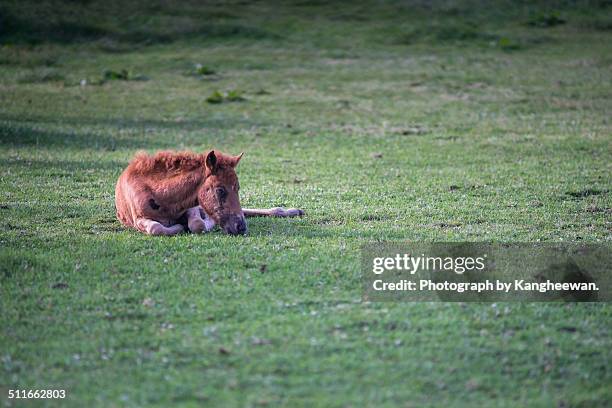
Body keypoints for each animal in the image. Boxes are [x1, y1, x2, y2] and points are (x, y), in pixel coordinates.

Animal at [114, 149, 304, 236]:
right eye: (220, 190)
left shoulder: (192, 206)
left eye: (238, 188)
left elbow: (197, 225)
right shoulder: (138, 219)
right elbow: (156, 228)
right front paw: (178, 227)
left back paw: (293, 211)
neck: (162, 197)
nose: (241, 227)